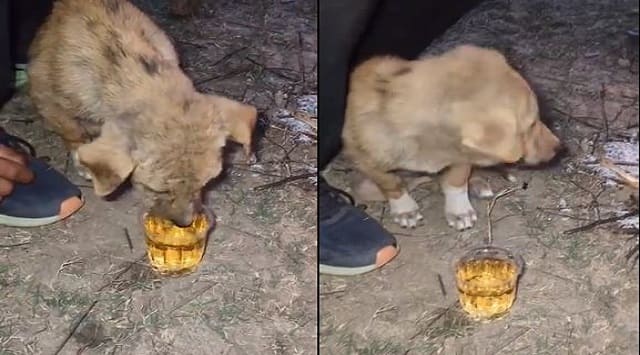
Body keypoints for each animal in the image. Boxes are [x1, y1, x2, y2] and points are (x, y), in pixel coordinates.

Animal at [27, 0, 258, 227]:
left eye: (206, 183)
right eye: (158, 189)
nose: (184, 224)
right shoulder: (48, 99)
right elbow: (73, 133)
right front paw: (82, 163)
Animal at [342, 44, 556, 231]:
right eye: (531, 124)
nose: (558, 147)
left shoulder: (462, 157)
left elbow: (456, 180)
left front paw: (459, 211)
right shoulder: (365, 160)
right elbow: (391, 184)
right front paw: (405, 209)